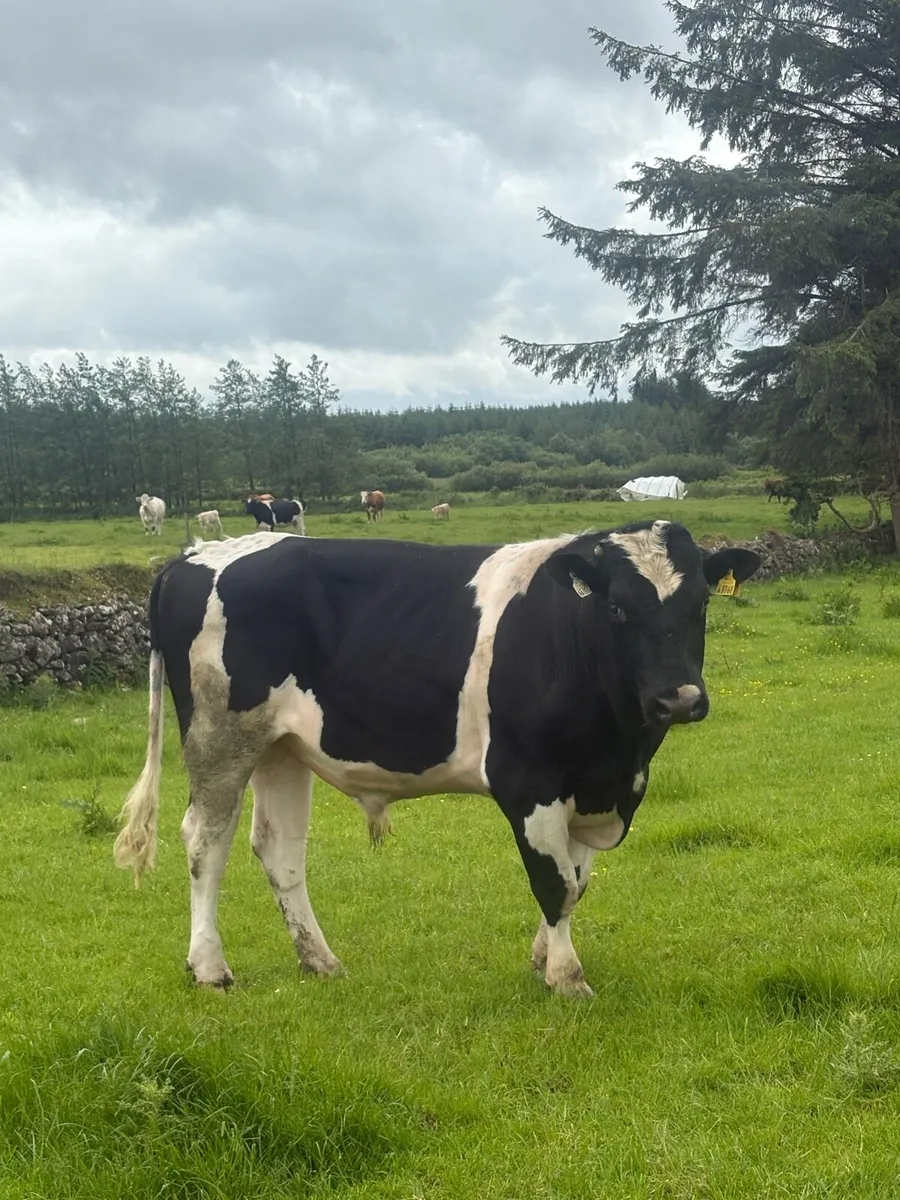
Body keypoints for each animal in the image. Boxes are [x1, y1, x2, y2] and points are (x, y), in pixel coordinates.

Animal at [115, 519, 760, 997]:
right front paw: (566, 976)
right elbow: (554, 883)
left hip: (279, 747)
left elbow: (576, 882)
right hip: (219, 735)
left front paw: (543, 956)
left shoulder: (596, 786)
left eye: (700, 605)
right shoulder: (528, 780)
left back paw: (319, 959)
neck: (619, 745)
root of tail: (195, 554)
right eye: (618, 609)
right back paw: (209, 967)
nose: (679, 698)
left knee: (279, 849)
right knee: (205, 840)